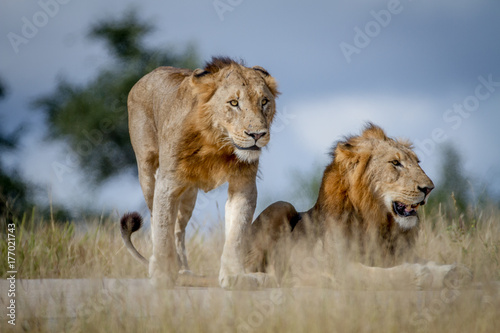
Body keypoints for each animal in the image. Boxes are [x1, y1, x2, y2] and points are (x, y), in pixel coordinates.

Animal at [119, 57, 280, 288]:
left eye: (264, 101)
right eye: (234, 103)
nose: (257, 134)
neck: (217, 142)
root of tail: (147, 75)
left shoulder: (244, 184)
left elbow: (237, 232)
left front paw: (234, 276)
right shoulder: (167, 182)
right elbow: (162, 229)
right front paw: (162, 275)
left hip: (189, 194)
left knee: (178, 230)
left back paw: (184, 270)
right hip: (148, 172)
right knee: (155, 217)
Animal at [246, 122, 472, 288]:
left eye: (418, 162)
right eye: (395, 163)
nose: (429, 188)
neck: (377, 220)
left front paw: (452, 270)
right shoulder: (332, 266)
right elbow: (375, 275)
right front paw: (418, 273)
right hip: (281, 205)